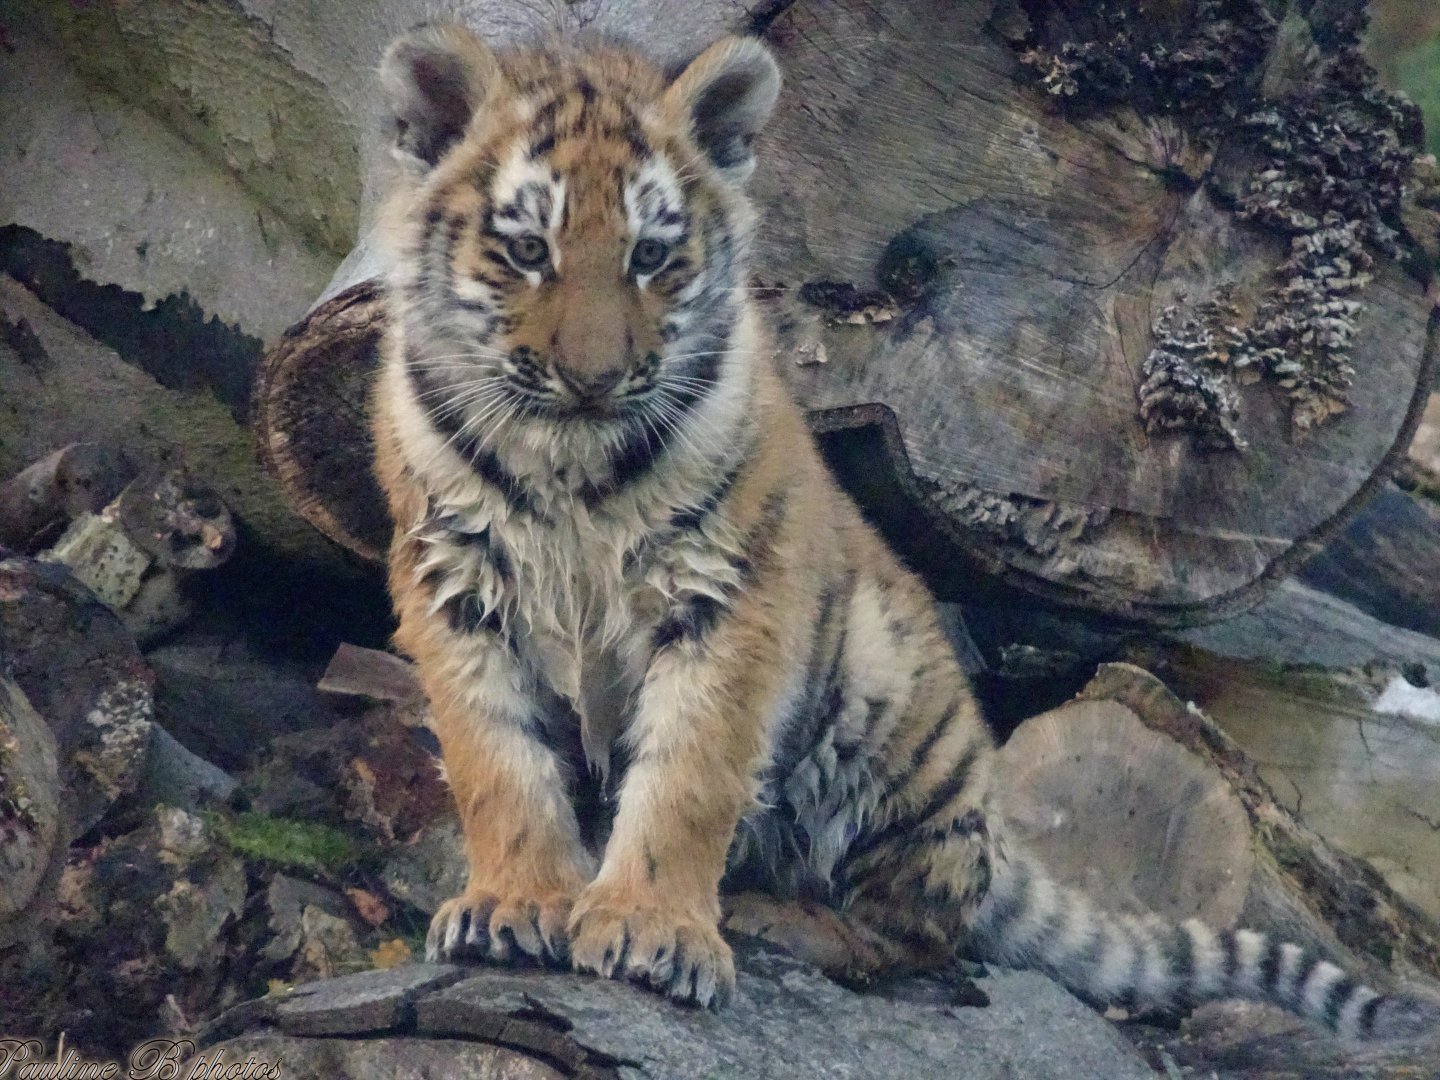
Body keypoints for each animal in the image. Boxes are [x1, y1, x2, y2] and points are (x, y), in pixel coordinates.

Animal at [369, 21, 1434, 1040]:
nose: (593, 379)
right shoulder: (456, 588)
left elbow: (687, 778)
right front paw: (515, 904)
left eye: (651, 257)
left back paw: (774, 918)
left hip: (885, 706)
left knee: (924, 932)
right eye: (528, 251)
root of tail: (995, 821)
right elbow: (500, 765)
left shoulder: (725, 596)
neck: (572, 462)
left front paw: (650, 928)